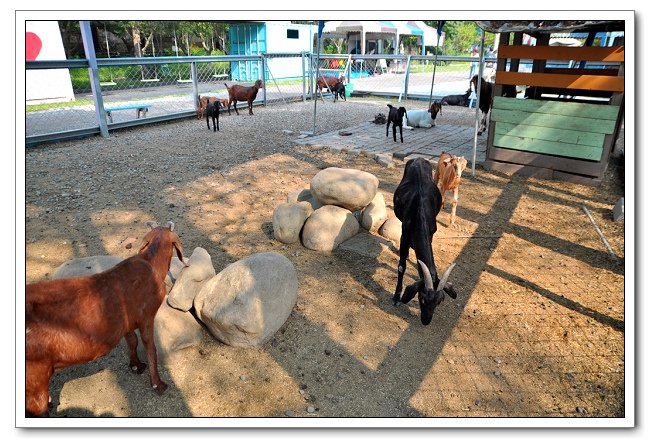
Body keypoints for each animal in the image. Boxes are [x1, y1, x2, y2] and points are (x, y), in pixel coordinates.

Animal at [24, 220, 185, 416]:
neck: (151, 263)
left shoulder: (126, 320)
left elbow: (132, 341)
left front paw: (136, 366)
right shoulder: (147, 315)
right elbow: (150, 348)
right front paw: (159, 385)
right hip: (35, 376)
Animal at [390, 158, 456, 326]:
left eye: (440, 301)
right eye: (422, 298)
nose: (426, 321)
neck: (419, 211)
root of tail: (418, 159)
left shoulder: (431, 233)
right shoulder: (404, 235)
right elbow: (401, 267)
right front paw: (396, 297)